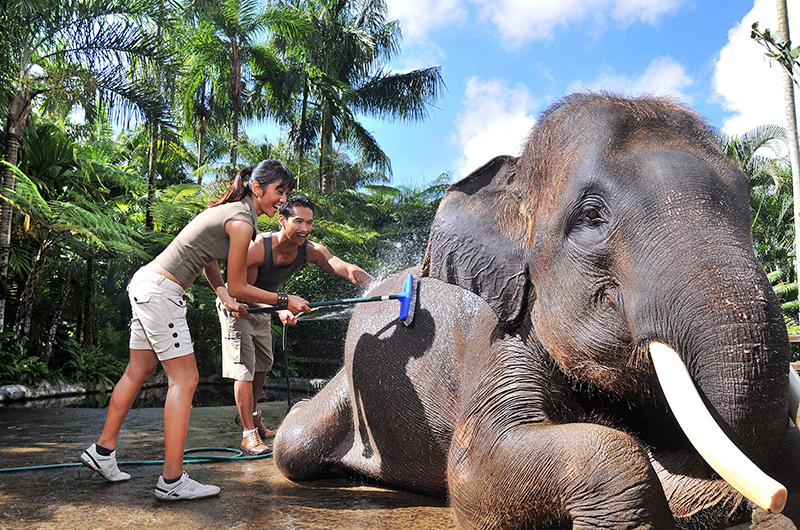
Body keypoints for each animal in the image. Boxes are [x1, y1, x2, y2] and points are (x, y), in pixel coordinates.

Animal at [273, 93, 800, 529]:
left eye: (746, 202)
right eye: (591, 216)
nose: (771, 499)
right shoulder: (497, 337)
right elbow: (473, 468)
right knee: (294, 443)